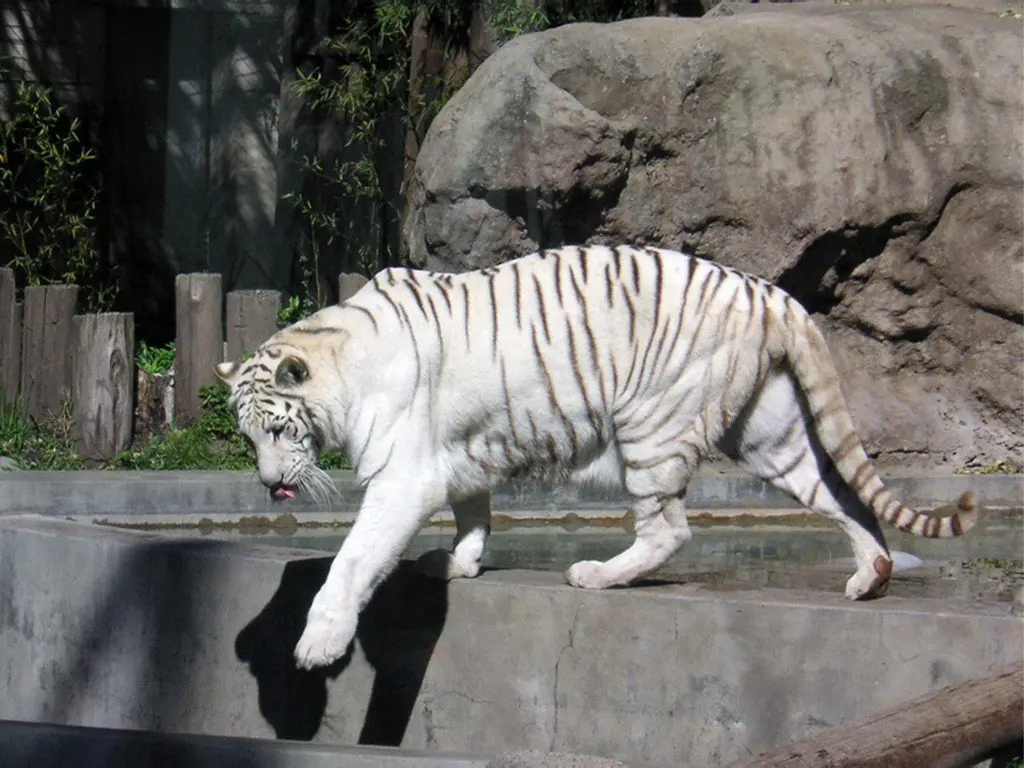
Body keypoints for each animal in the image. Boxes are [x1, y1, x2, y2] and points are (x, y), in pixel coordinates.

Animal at [214, 245, 978, 670]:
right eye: (249, 439)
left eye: (278, 431)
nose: (271, 486)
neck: (342, 358)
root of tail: (772, 293)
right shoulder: (457, 453)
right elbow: (473, 509)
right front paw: (460, 563)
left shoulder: (404, 474)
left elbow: (353, 559)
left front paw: (319, 644)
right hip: (773, 433)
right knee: (838, 491)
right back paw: (870, 578)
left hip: (652, 421)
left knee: (670, 530)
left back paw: (598, 575)